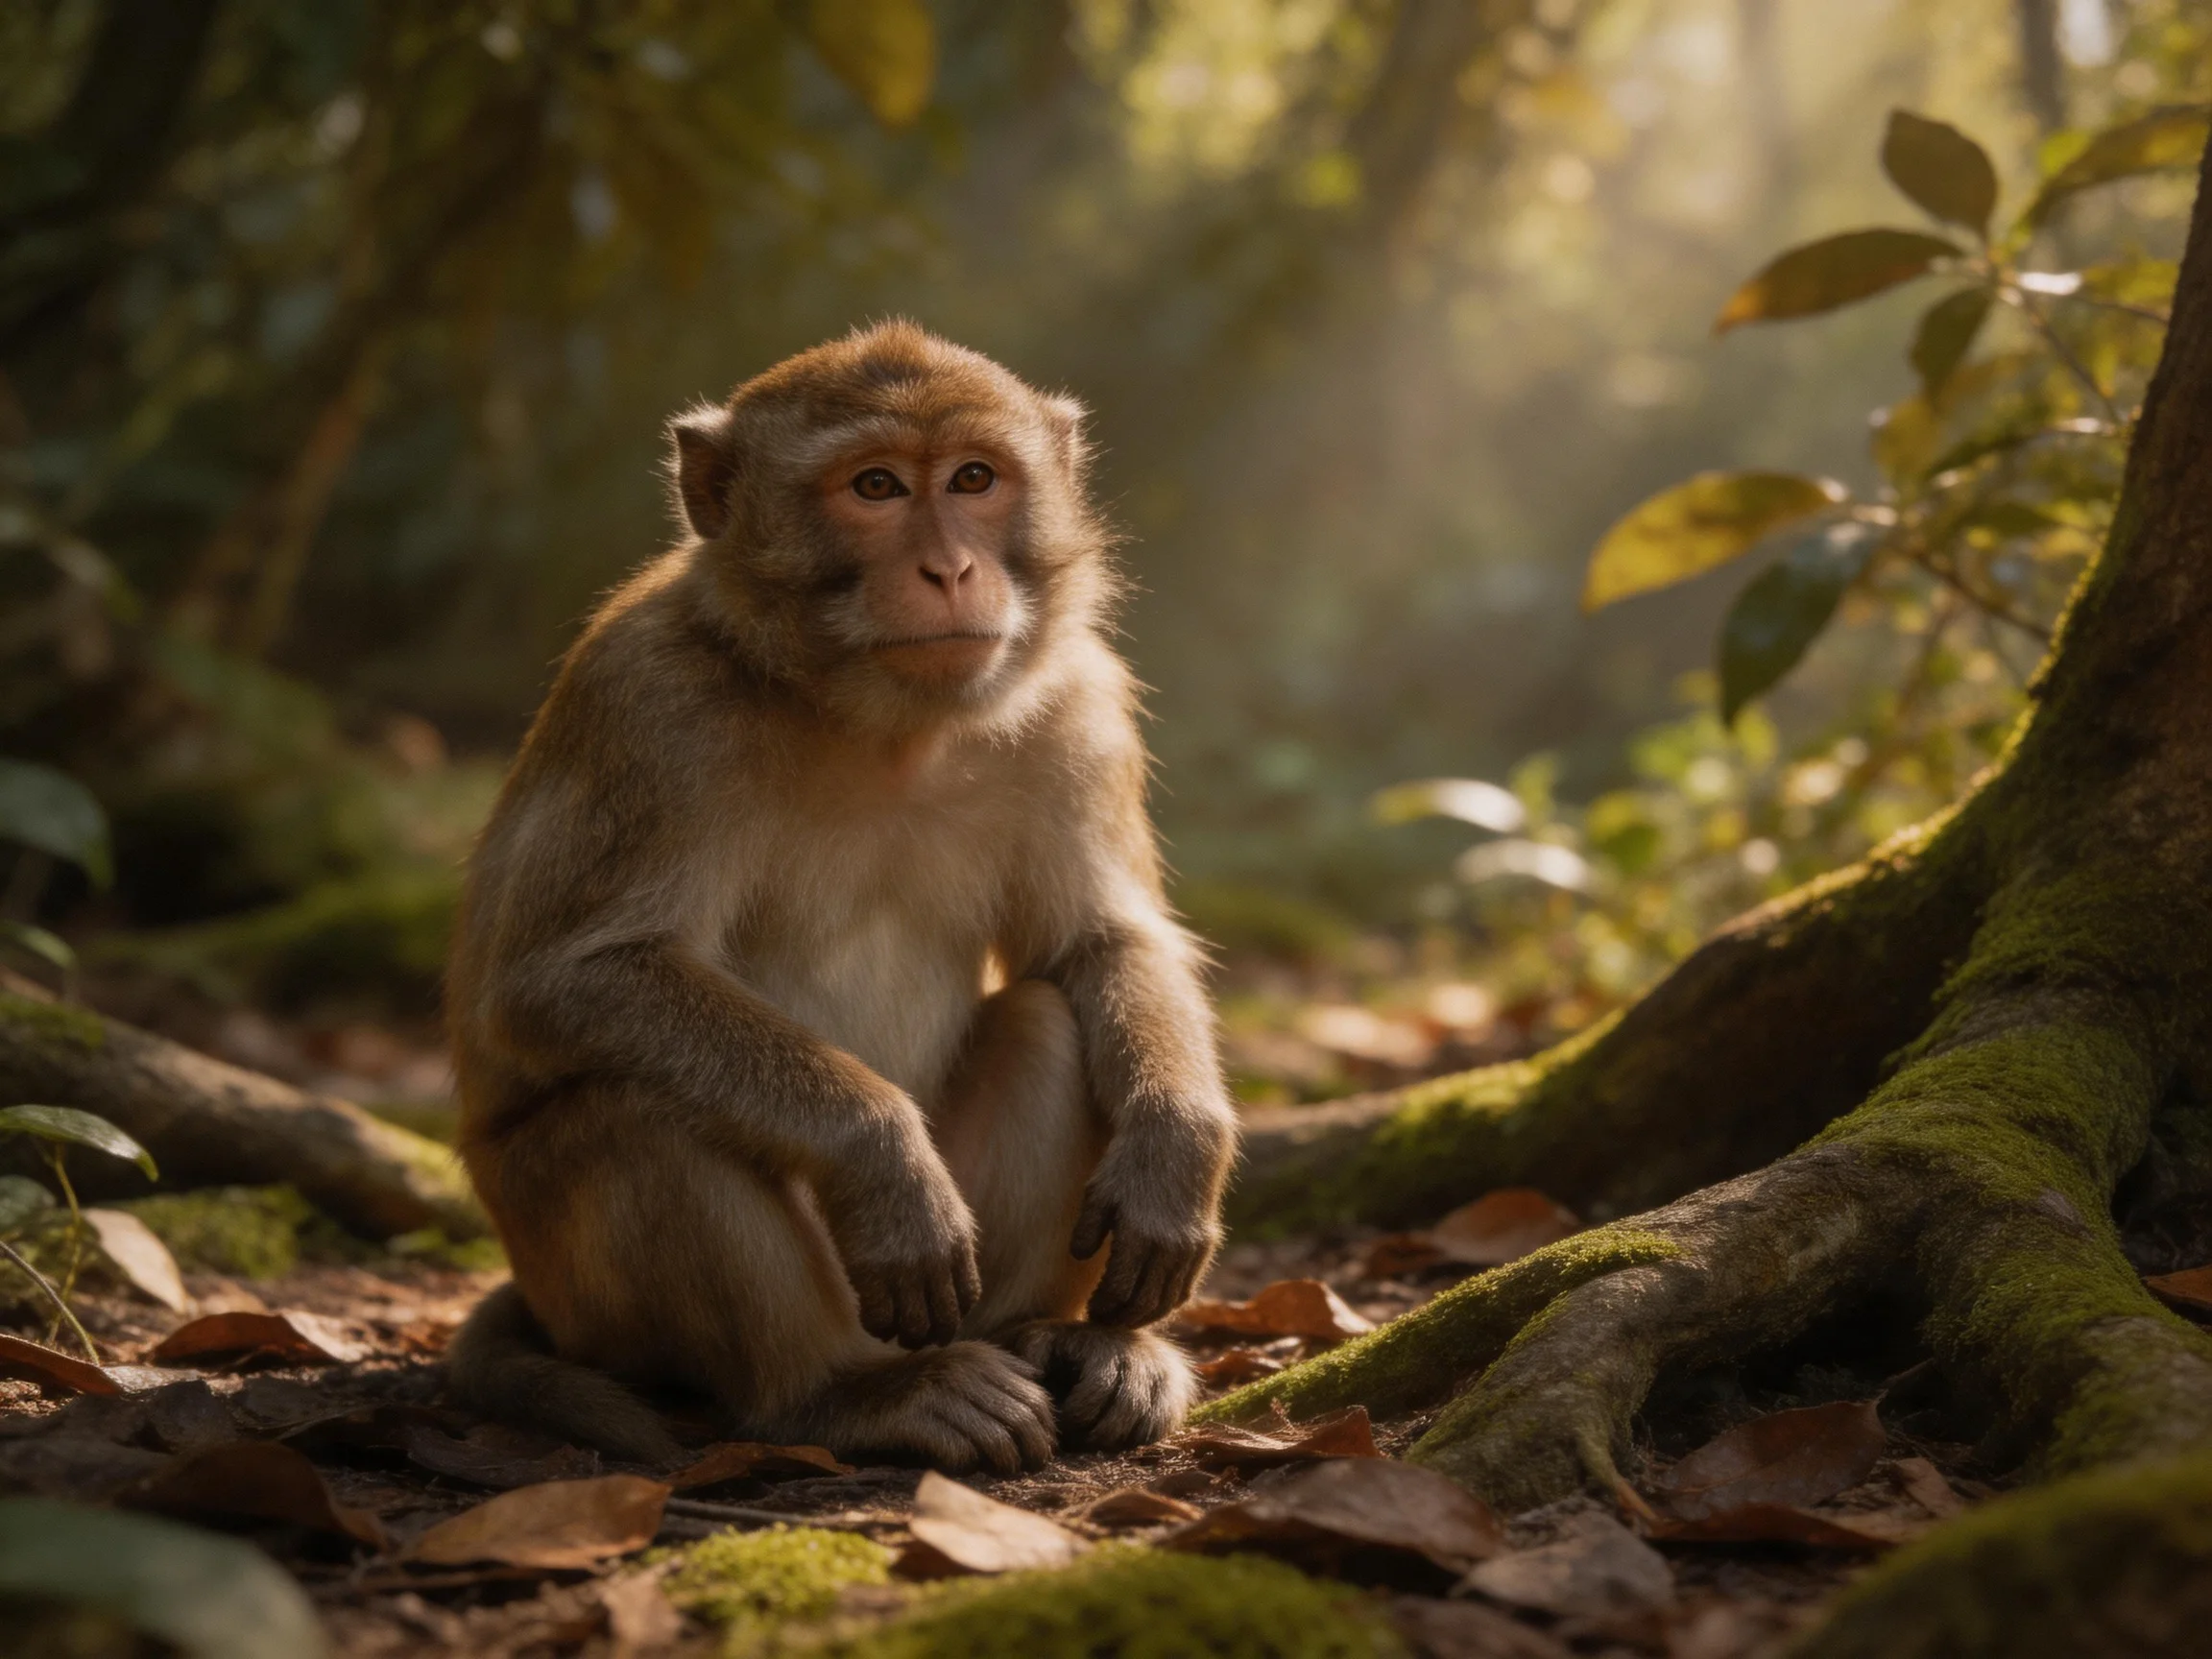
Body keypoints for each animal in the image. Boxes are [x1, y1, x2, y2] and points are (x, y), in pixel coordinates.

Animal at [443, 322, 1237, 1474]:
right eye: (875, 487)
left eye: (974, 479)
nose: (950, 567)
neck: (877, 723)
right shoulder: (651, 706)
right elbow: (566, 980)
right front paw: (881, 1157)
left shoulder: (1077, 704)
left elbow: (1101, 943)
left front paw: (1177, 1145)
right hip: (589, 1298)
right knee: (641, 1104)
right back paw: (839, 1396)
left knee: (1052, 1024)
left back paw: (1061, 1344)